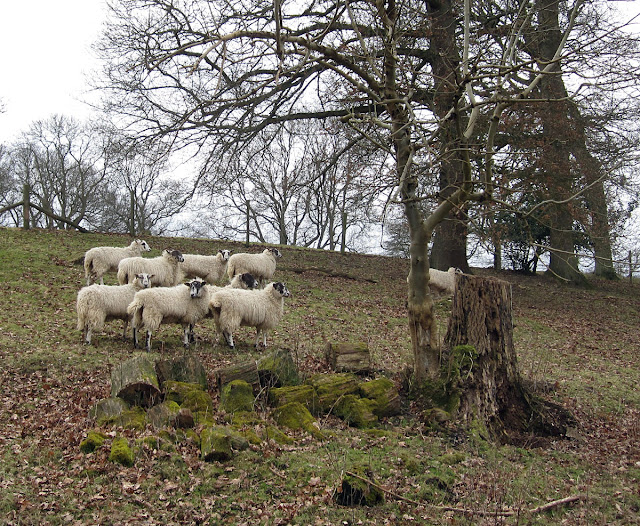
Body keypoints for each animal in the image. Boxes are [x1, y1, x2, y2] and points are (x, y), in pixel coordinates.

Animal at [126, 274, 258, 352]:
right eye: (249, 277)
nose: (257, 284)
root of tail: (140, 298)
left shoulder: (189, 316)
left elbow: (187, 330)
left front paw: (188, 342)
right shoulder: (190, 315)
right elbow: (188, 330)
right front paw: (189, 342)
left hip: (140, 314)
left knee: (135, 328)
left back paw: (136, 344)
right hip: (152, 314)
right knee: (148, 332)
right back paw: (148, 347)